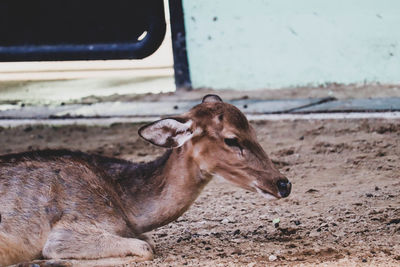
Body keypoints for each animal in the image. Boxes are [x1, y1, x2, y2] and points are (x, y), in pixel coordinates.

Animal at [1, 95, 292, 266]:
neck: (125, 206)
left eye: (253, 131)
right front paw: (43, 260)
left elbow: (148, 242)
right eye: (231, 139)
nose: (284, 184)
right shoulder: (70, 229)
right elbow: (145, 247)